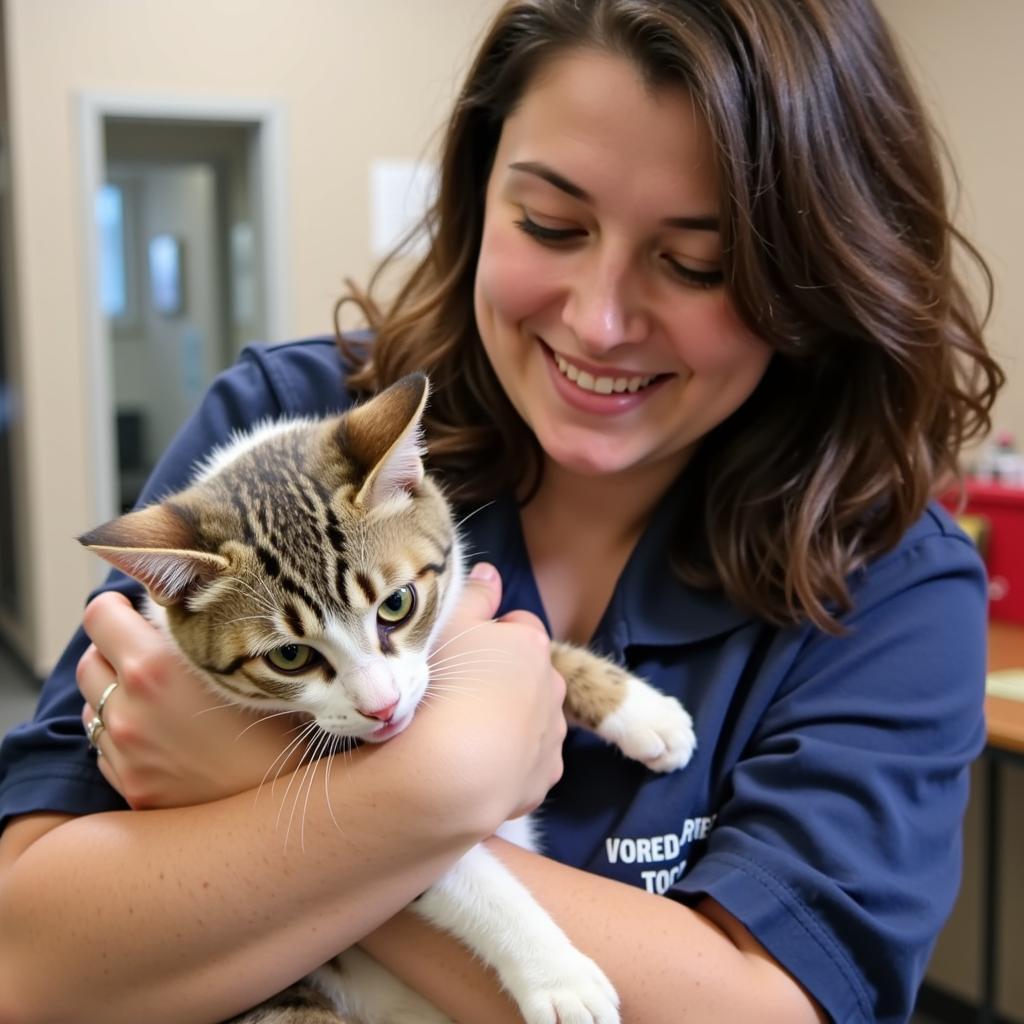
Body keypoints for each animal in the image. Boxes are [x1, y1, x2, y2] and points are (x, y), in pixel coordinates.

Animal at [79, 376, 696, 1024]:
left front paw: (643, 711)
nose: (381, 707)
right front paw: (558, 975)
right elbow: (448, 867)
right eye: (289, 657)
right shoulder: (380, 835)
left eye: (396, 604)